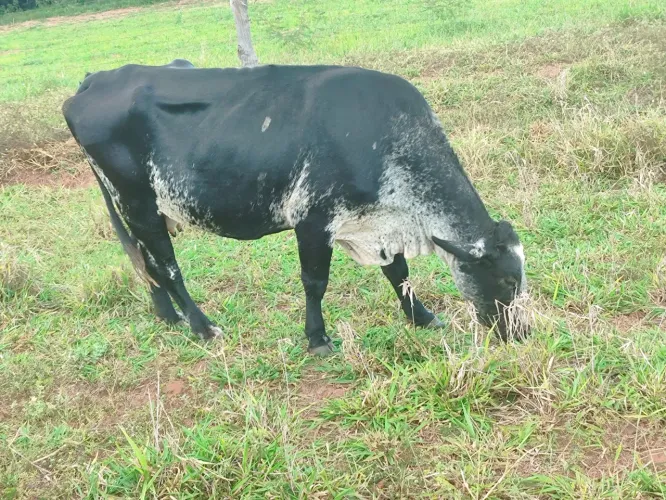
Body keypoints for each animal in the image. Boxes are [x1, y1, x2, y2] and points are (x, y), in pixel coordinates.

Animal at [62, 60, 530, 356]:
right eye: (508, 280)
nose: (524, 333)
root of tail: (93, 81)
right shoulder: (313, 221)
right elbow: (315, 283)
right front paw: (318, 339)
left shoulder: (378, 226)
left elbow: (398, 273)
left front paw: (422, 316)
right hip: (137, 202)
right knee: (167, 265)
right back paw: (201, 325)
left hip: (134, 207)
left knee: (144, 261)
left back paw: (167, 315)